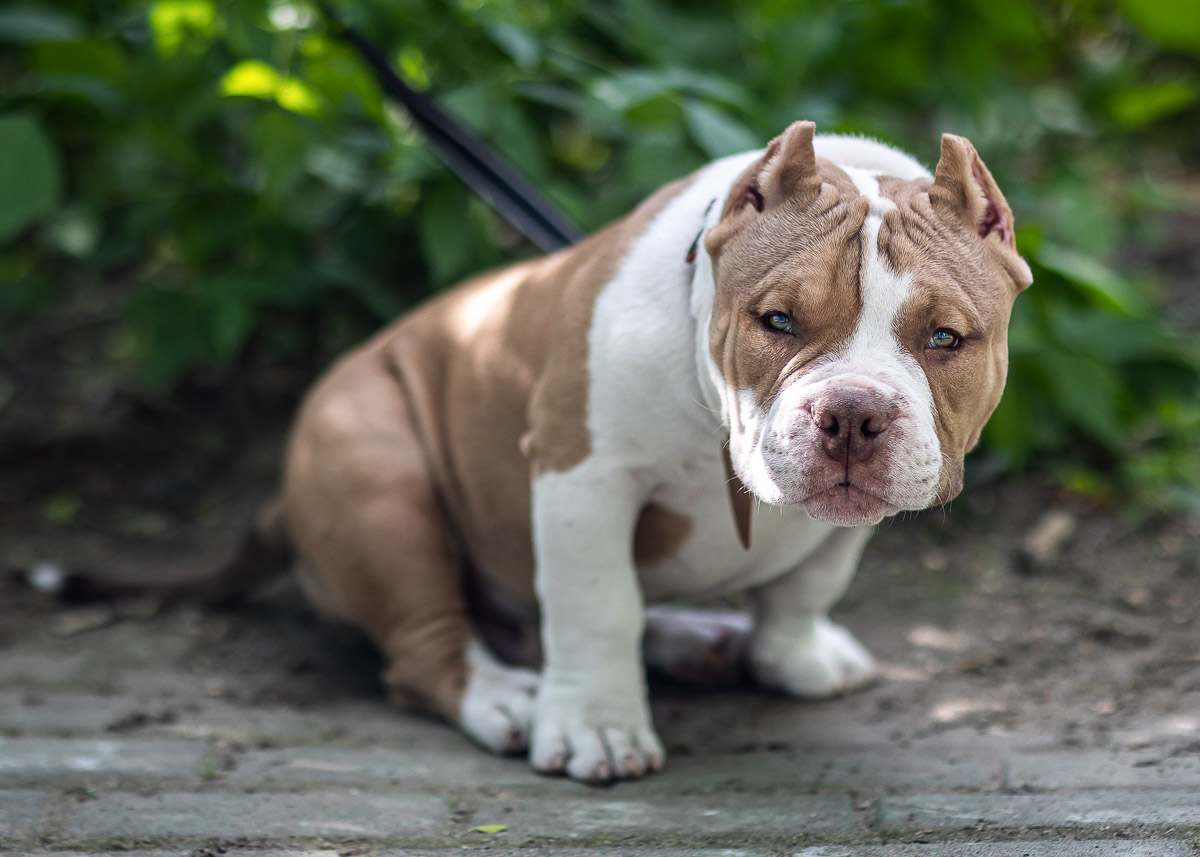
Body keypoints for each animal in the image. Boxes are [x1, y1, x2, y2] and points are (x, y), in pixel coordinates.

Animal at [260, 121, 1032, 782]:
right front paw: (596, 727)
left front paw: (793, 656)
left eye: (944, 337)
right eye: (777, 320)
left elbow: (809, 583)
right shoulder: (584, 476)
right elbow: (599, 604)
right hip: (376, 476)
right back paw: (506, 697)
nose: (851, 412)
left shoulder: (853, 517)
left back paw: (694, 640)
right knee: (426, 646)